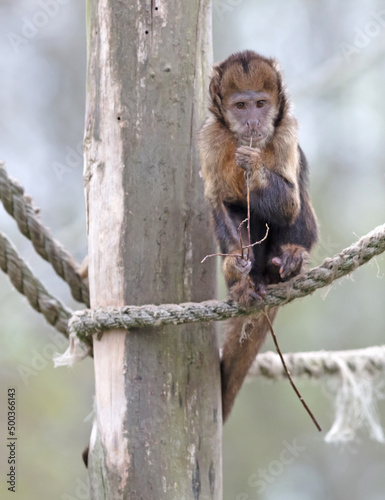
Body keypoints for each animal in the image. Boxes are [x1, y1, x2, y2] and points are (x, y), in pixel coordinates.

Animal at [196, 50, 316, 422]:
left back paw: (289, 261)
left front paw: (255, 166)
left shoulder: (287, 129)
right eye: (241, 106)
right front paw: (236, 269)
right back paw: (247, 283)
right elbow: (218, 201)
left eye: (261, 104)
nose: (252, 121)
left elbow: (289, 203)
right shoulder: (210, 137)